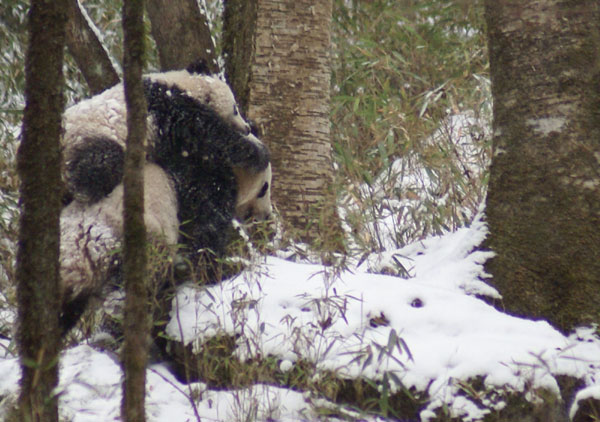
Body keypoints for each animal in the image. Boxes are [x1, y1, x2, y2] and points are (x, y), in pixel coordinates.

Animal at [63, 61, 253, 204]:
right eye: (235, 109)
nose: (247, 128)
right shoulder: (168, 106)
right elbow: (205, 131)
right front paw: (247, 150)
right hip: (88, 137)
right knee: (100, 162)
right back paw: (87, 190)